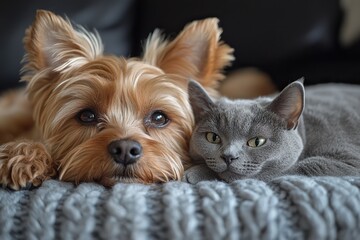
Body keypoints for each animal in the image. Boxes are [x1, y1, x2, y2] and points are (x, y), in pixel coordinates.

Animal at [184, 79, 360, 183]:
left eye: (257, 142)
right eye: (213, 137)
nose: (229, 156)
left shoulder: (349, 160)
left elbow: (294, 168)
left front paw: (195, 172)